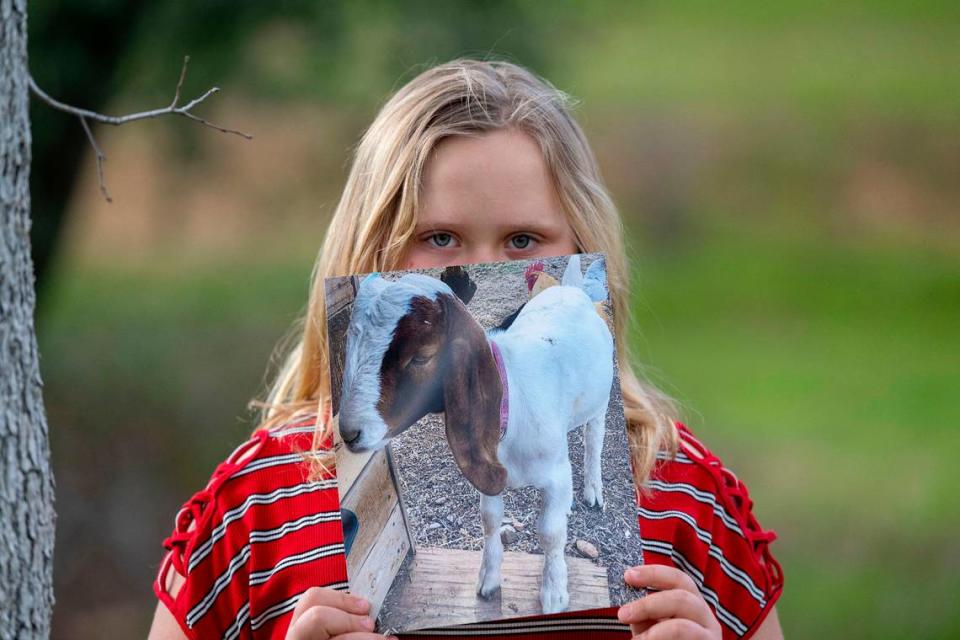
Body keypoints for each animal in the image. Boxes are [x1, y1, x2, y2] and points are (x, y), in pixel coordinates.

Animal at [338, 255, 616, 616]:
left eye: (421, 357)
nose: (349, 432)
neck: (512, 397)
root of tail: (572, 289)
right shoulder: (486, 467)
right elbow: (490, 519)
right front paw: (489, 579)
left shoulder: (556, 476)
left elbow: (550, 532)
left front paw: (554, 593)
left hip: (600, 399)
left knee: (594, 437)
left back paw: (593, 489)